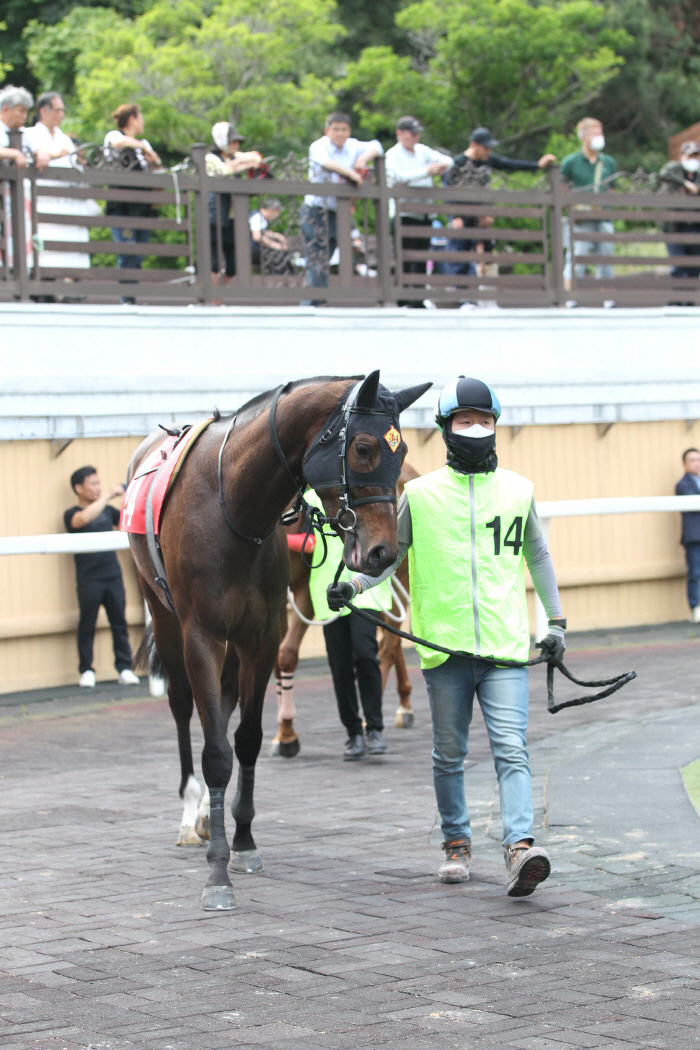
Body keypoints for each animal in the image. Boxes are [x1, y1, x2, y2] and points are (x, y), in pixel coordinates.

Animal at [128, 373, 430, 907]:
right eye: (365, 447)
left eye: (402, 450)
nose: (383, 550)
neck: (233, 508)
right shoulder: (202, 634)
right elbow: (215, 751)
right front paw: (217, 873)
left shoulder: (260, 634)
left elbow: (244, 740)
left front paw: (243, 843)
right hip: (162, 614)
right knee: (184, 706)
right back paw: (190, 811)